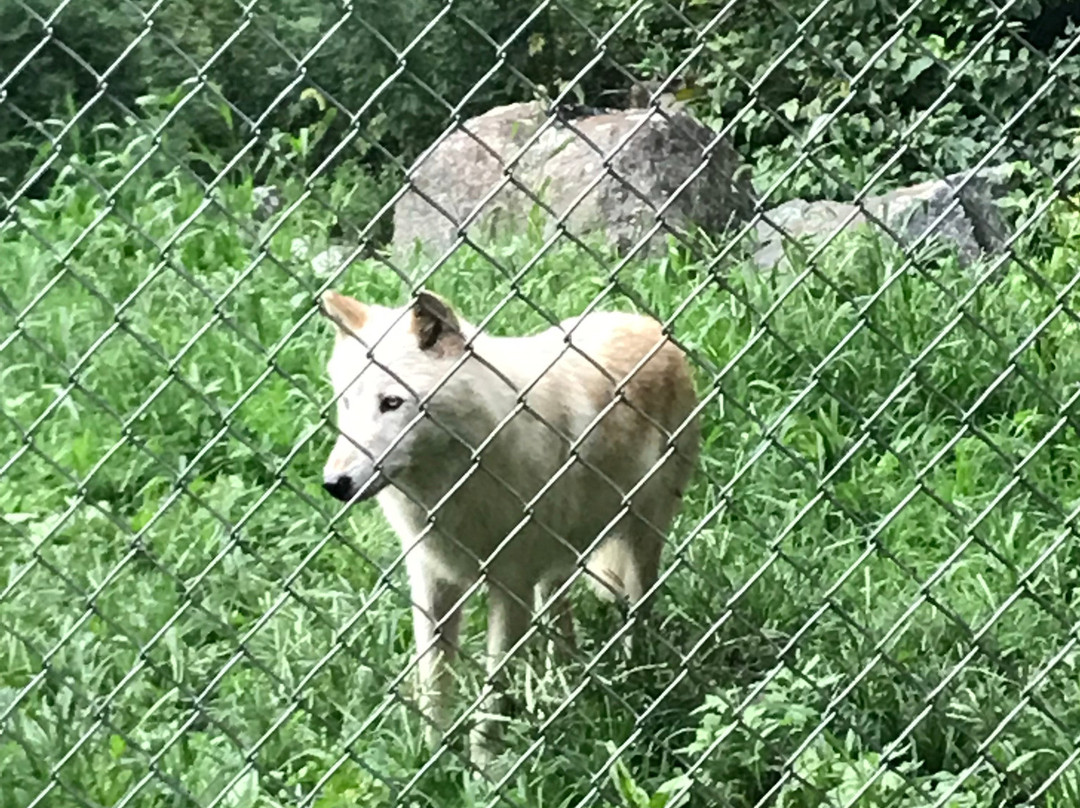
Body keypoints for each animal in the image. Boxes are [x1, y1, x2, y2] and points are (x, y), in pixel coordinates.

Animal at [318, 288, 700, 766]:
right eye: (347, 403)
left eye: (391, 403)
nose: (334, 484)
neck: (455, 483)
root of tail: (651, 326)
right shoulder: (431, 581)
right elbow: (433, 681)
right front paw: (434, 758)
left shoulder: (510, 586)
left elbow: (493, 689)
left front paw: (485, 767)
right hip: (560, 559)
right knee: (560, 615)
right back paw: (565, 682)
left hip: (641, 541)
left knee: (638, 613)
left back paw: (636, 676)